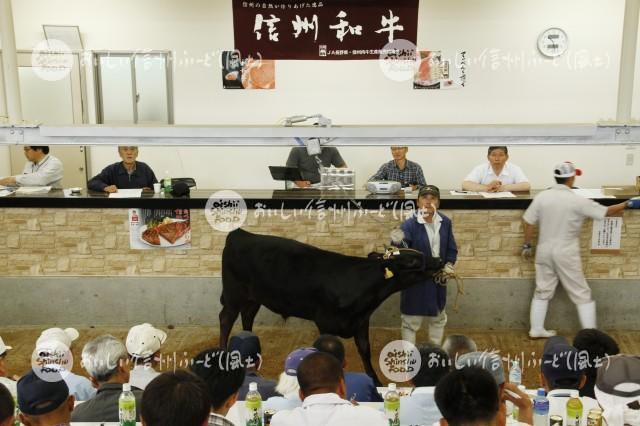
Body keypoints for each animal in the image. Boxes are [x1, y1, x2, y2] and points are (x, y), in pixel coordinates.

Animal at [218, 228, 442, 384]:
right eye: (412, 261)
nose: (439, 259)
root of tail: (239, 234)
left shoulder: (361, 321)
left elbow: (365, 350)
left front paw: (376, 381)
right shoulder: (325, 321)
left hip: (253, 298)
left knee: (247, 316)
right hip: (233, 294)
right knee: (226, 318)